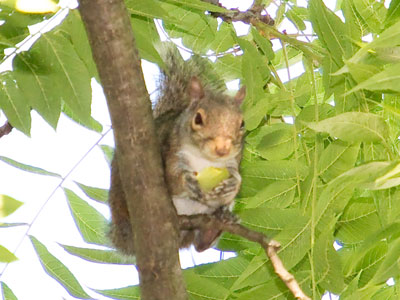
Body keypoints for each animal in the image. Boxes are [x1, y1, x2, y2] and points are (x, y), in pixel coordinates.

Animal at [109, 45, 247, 254]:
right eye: (198, 119)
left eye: (242, 124)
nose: (222, 149)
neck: (205, 159)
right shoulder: (171, 149)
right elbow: (172, 178)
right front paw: (187, 181)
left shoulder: (233, 161)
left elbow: (236, 178)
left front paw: (233, 183)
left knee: (200, 245)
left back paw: (217, 224)